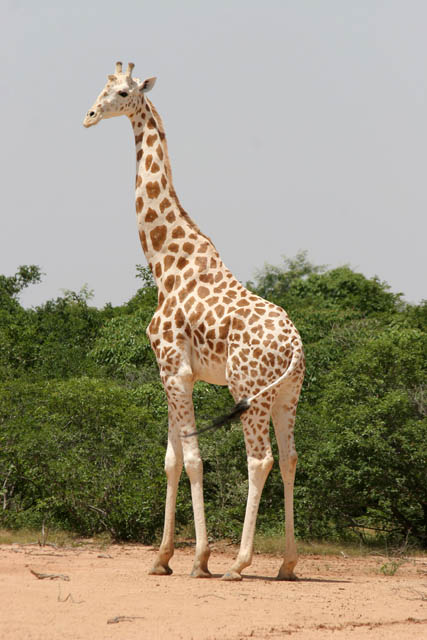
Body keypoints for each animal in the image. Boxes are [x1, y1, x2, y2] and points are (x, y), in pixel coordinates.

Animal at [83, 61, 305, 581]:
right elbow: (169, 460)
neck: (164, 262)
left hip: (251, 391)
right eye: (101, 88)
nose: (88, 116)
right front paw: (161, 557)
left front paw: (199, 558)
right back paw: (286, 564)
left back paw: (239, 563)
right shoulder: (169, 373)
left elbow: (192, 459)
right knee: (289, 458)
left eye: (121, 93)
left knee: (259, 460)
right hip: (288, 394)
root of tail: (295, 346)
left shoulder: (176, 371)